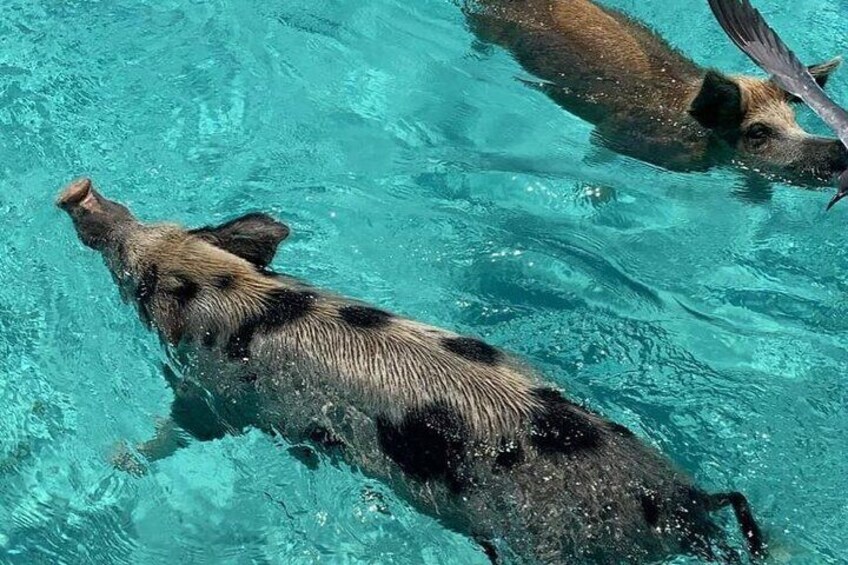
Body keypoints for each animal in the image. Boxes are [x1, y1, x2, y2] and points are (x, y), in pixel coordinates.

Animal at [58, 178, 764, 564]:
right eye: (159, 224)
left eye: (133, 277)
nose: (82, 197)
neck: (235, 297)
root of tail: (688, 503)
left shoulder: (221, 395)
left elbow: (183, 429)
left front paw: (118, 456)